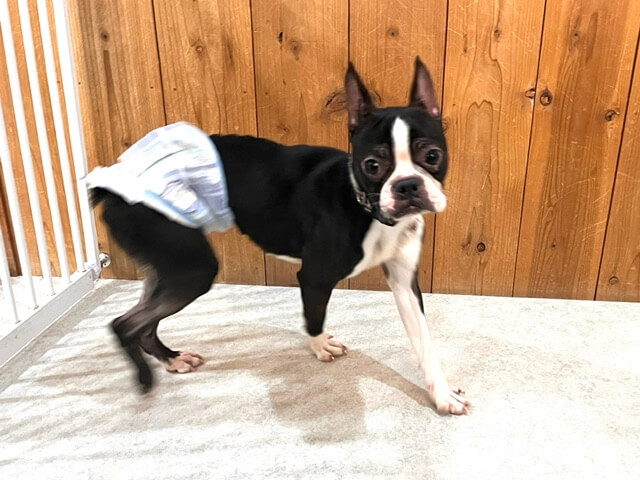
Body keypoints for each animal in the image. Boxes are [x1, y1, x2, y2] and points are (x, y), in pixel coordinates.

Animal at [89, 58, 470, 415]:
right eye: (373, 165)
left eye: (432, 155)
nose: (408, 185)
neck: (366, 207)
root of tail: (112, 185)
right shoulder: (315, 276)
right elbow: (313, 316)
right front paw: (320, 345)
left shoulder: (405, 282)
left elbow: (424, 343)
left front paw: (441, 394)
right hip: (191, 269)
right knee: (127, 323)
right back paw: (145, 378)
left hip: (167, 265)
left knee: (144, 321)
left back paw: (171, 358)